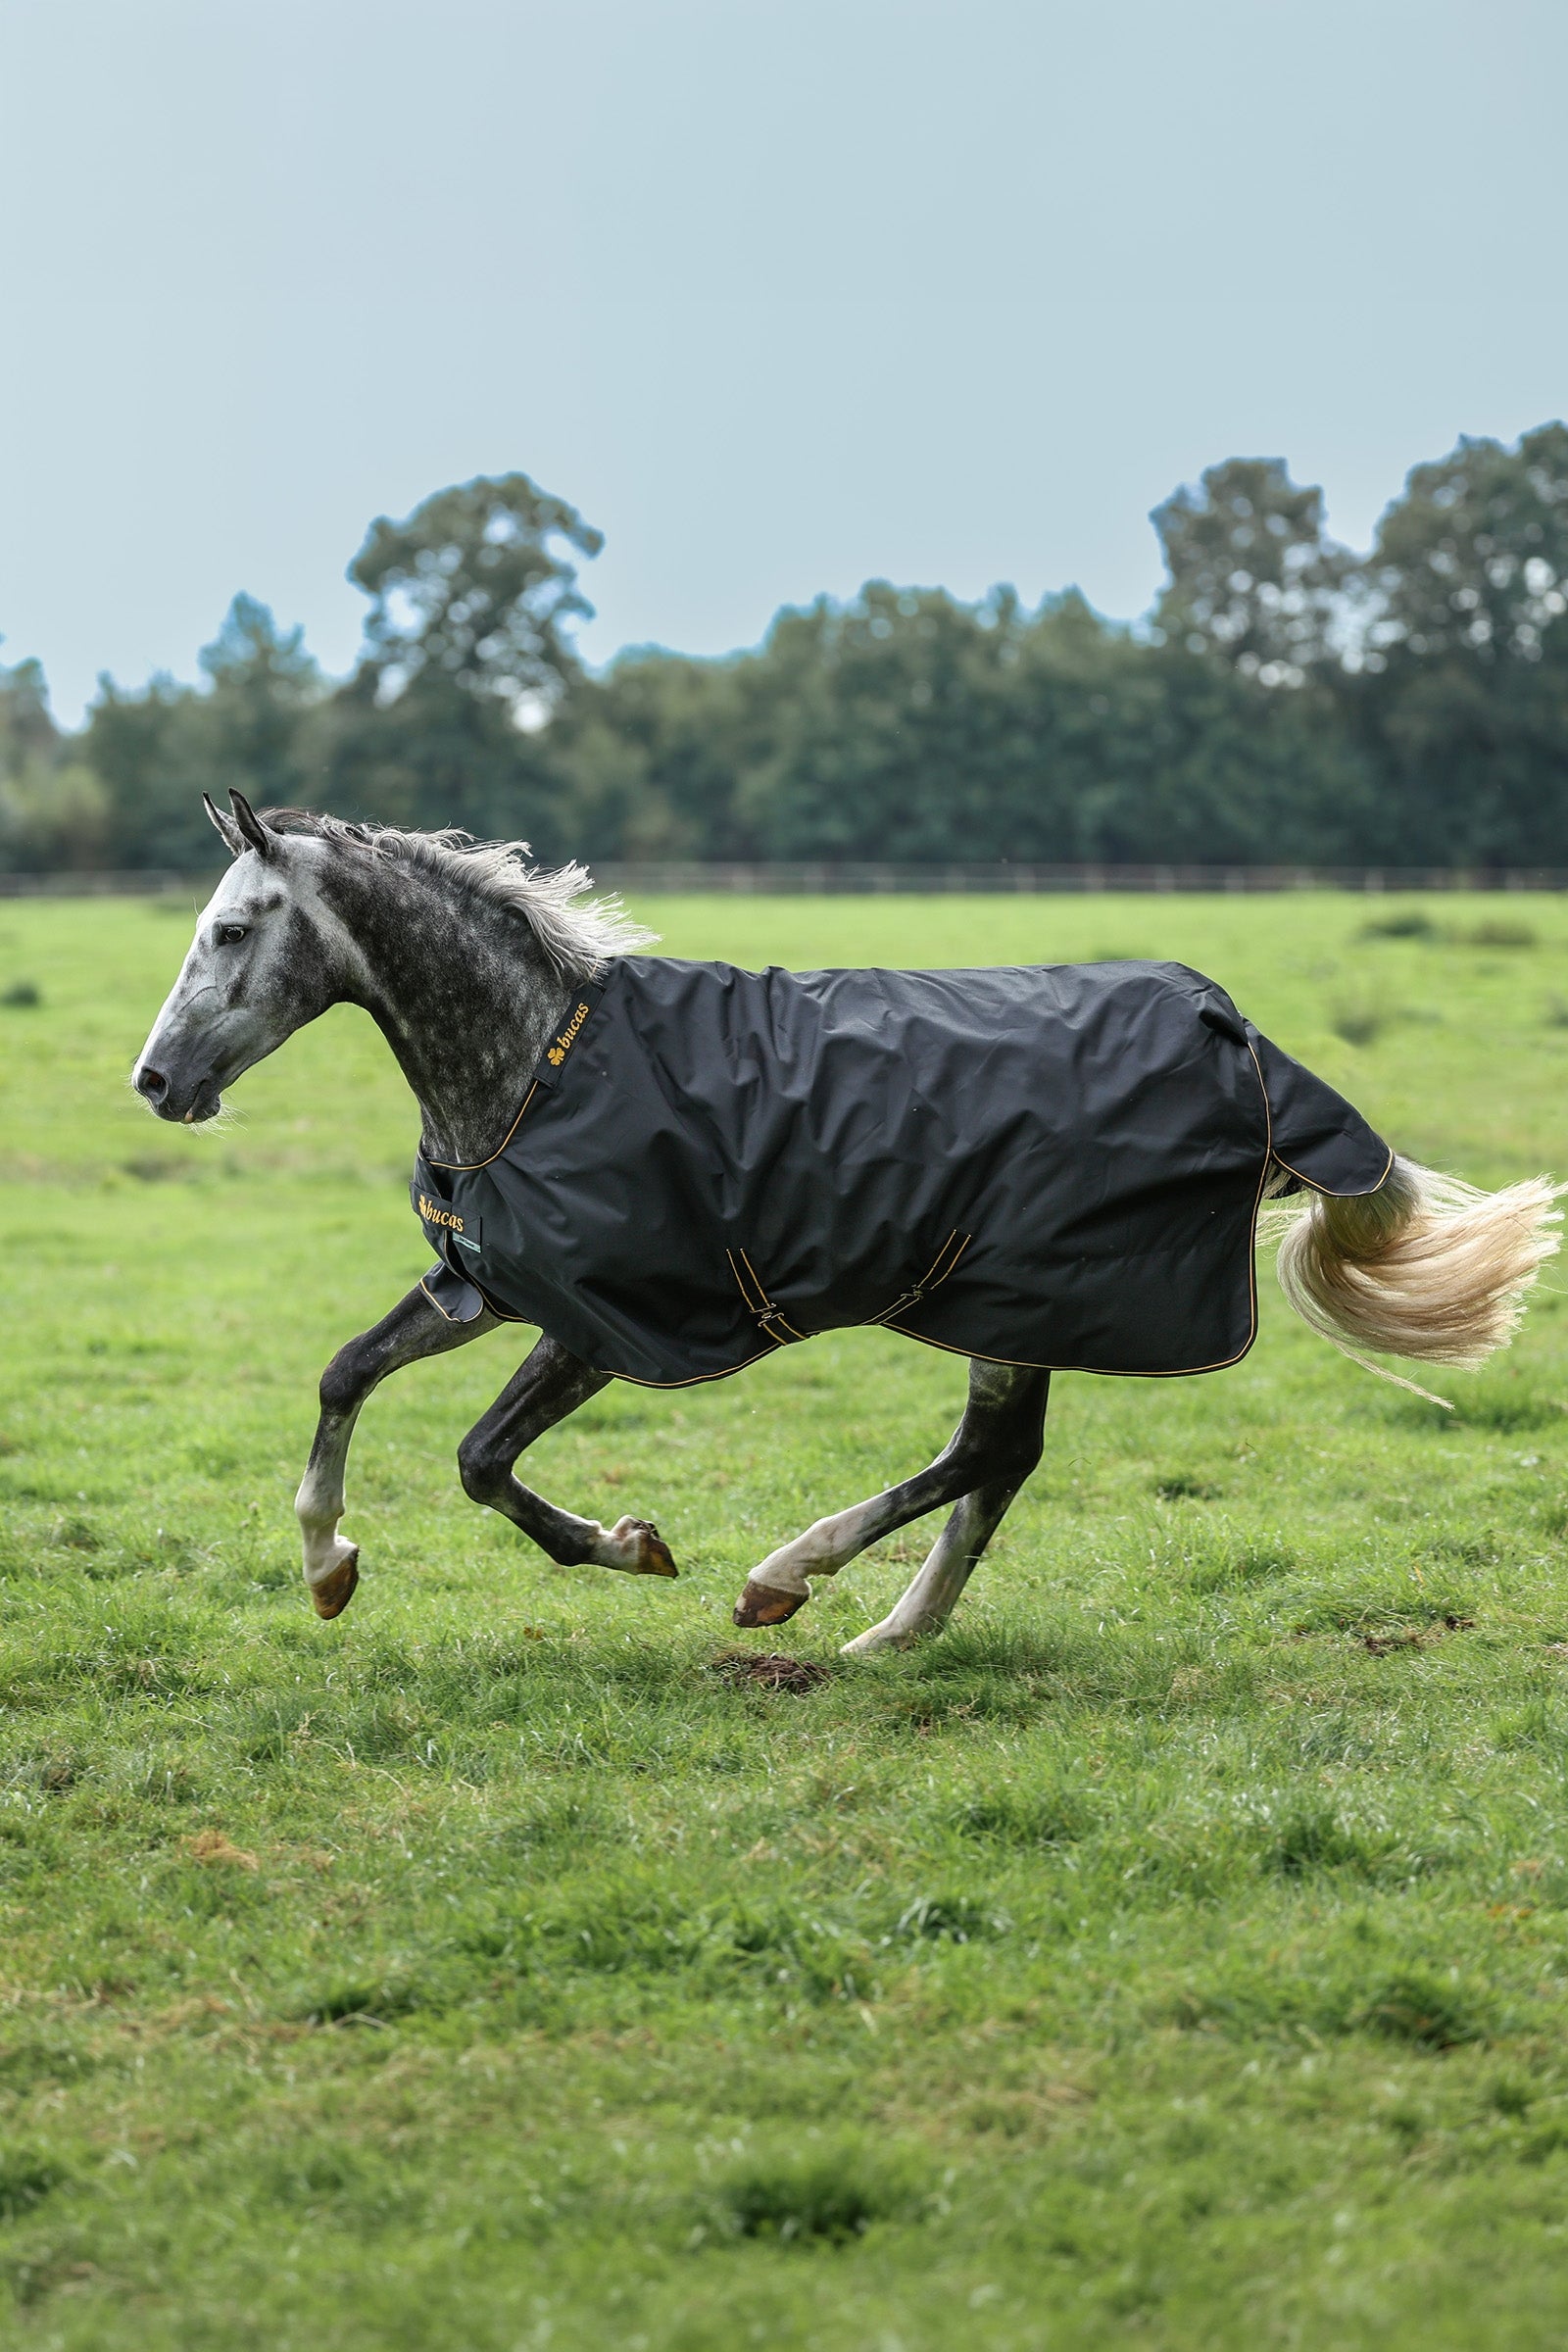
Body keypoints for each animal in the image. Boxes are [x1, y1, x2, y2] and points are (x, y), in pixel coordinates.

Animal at [132, 791, 1562, 1654]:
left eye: (232, 929)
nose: (156, 1082)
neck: (538, 1061)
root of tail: (1246, 1042)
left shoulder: (604, 1319)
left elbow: (484, 1461)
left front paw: (631, 1546)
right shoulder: (492, 1282)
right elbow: (344, 1374)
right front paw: (327, 1566)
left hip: (1013, 1294)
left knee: (988, 1455)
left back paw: (789, 1578)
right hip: (1016, 1303)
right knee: (1001, 1464)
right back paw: (895, 1632)